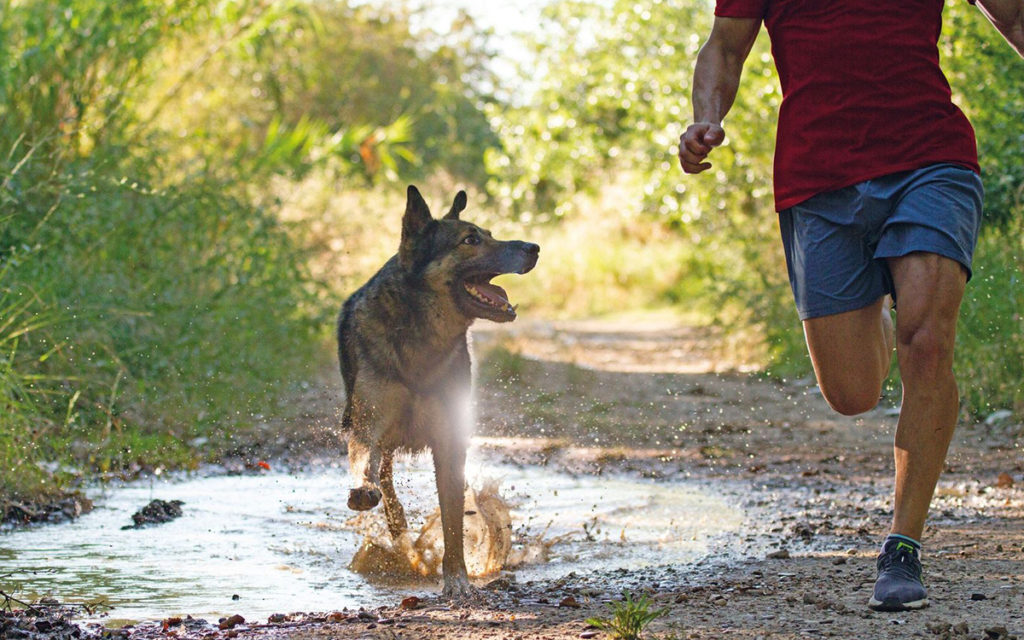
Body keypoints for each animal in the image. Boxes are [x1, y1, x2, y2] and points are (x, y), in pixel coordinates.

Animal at [337, 187, 544, 598]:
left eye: (489, 233)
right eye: (470, 240)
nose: (534, 247)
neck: (423, 340)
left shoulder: (450, 438)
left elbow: (452, 518)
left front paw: (457, 578)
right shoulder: (368, 424)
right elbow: (364, 463)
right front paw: (363, 490)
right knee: (385, 477)